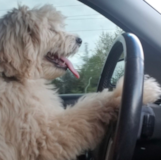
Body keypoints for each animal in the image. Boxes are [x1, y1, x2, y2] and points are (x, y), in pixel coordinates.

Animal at [0, 5, 160, 160]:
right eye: (51, 29)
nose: (79, 40)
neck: (12, 77)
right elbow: (90, 108)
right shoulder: (43, 137)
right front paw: (123, 94)